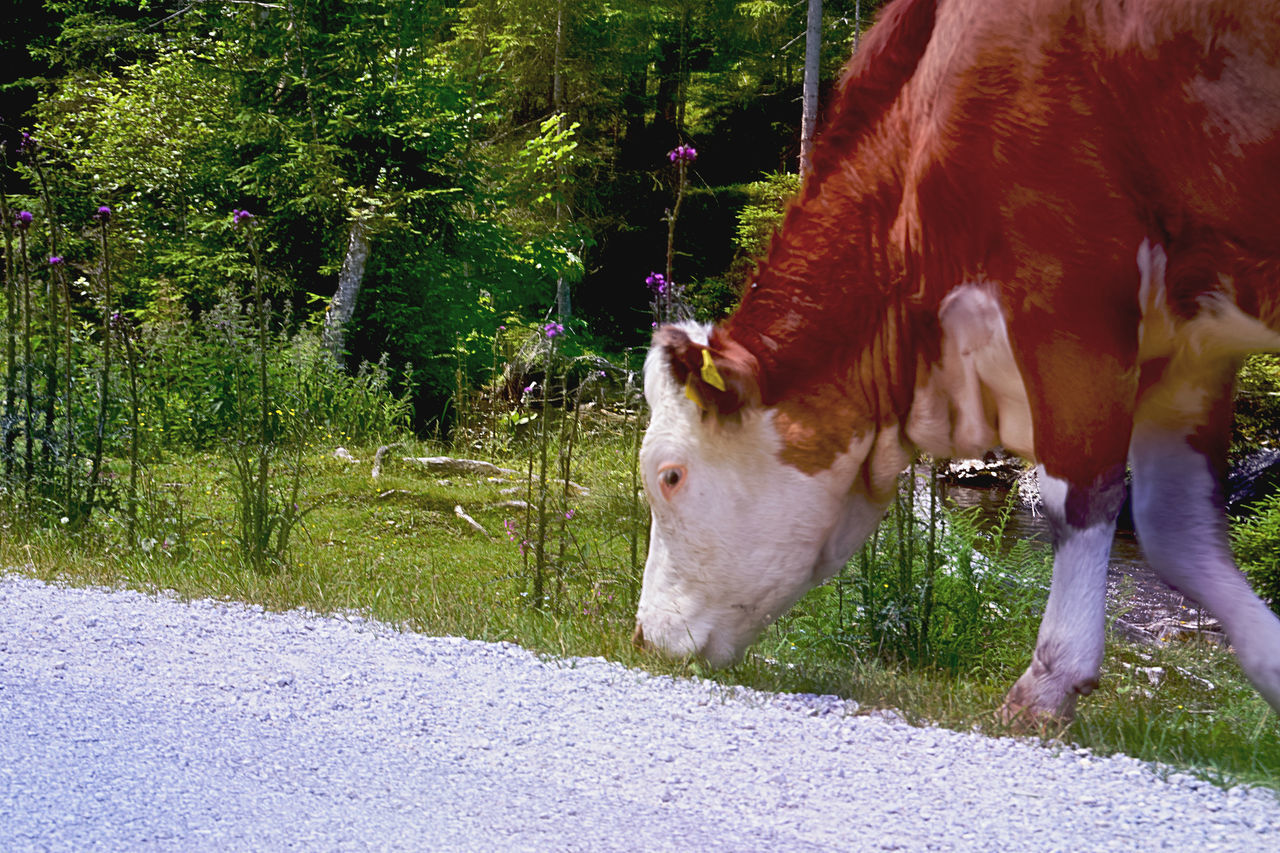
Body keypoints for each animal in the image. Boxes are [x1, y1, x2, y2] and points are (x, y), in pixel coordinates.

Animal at [634, 0, 1280, 722]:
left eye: (669, 476)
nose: (644, 635)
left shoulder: (1067, 291)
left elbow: (1079, 494)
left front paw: (1049, 683)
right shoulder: (1193, 344)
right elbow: (1179, 532)